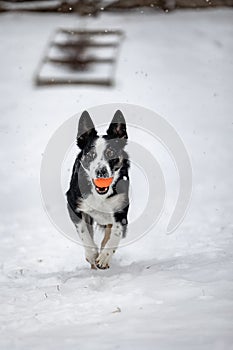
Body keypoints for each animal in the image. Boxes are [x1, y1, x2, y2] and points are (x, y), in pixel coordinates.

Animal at [66, 110, 130, 270]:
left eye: (111, 153)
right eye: (90, 155)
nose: (101, 172)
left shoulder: (121, 209)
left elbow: (115, 234)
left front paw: (104, 257)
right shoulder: (73, 205)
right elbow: (84, 233)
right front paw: (92, 255)